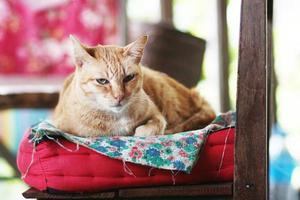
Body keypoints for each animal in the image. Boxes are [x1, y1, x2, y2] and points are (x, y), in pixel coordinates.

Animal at [52, 35, 214, 137]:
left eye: (128, 78)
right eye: (102, 81)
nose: (119, 96)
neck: (118, 117)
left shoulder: (158, 116)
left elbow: (148, 130)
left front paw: (139, 131)